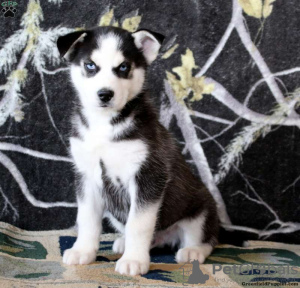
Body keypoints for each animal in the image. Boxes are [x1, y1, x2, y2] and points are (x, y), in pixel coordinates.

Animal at [57, 25, 219, 276]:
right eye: (90, 65)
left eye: (124, 67)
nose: (105, 94)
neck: (105, 125)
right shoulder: (86, 176)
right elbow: (87, 219)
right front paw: (83, 250)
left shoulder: (148, 175)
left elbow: (139, 223)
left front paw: (133, 260)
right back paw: (126, 243)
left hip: (202, 209)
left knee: (206, 238)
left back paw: (193, 251)